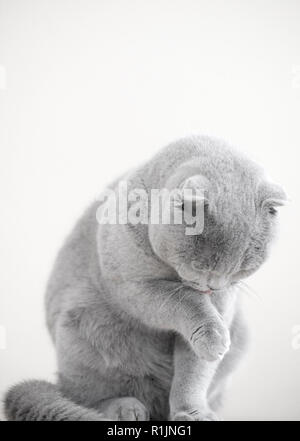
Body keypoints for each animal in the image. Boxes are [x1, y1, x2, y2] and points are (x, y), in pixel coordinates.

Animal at [4, 135, 286, 420]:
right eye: (200, 264)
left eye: (242, 267)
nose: (213, 286)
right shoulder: (135, 287)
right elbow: (186, 303)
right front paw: (213, 337)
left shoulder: (222, 305)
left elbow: (194, 369)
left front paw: (192, 411)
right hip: (81, 327)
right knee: (83, 396)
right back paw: (126, 408)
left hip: (240, 335)